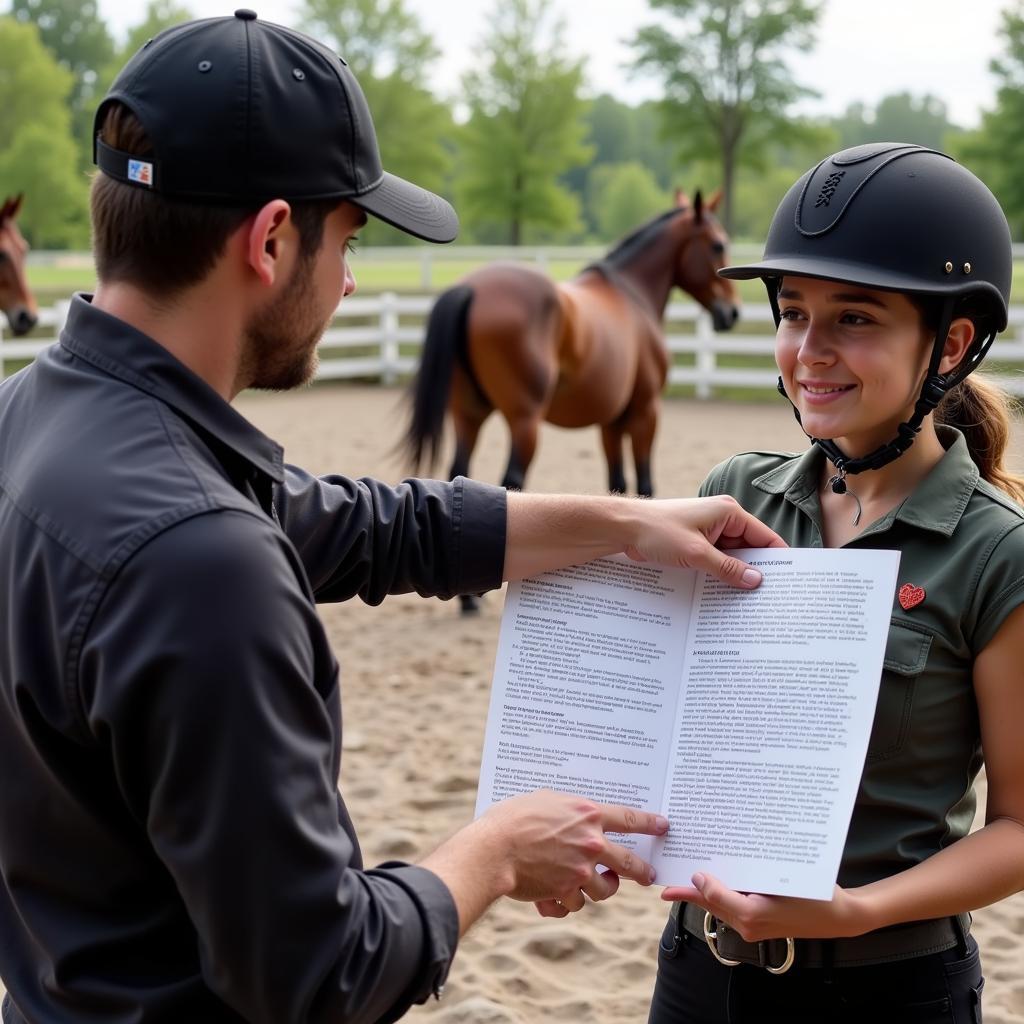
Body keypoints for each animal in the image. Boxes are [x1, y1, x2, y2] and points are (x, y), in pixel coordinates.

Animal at [403, 192, 741, 499]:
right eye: (718, 245)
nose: (732, 312)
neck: (632, 294)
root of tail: (471, 288)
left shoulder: (611, 422)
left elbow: (617, 485)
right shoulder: (646, 411)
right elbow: (645, 487)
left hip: (468, 414)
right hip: (525, 422)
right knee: (512, 480)